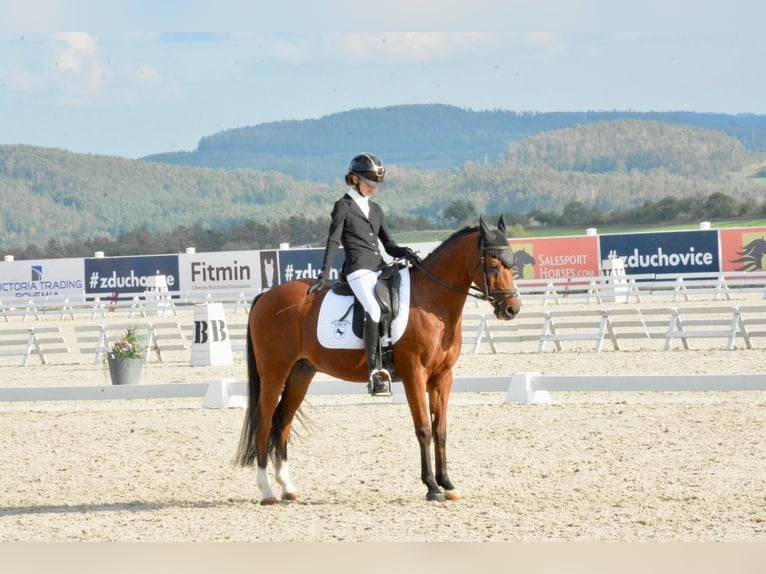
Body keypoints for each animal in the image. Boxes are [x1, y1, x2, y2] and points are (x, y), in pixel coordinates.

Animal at [235, 216, 522, 503]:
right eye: (494, 265)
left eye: (513, 265)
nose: (512, 309)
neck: (431, 301)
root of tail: (266, 296)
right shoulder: (414, 375)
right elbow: (424, 429)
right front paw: (431, 487)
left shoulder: (443, 377)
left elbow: (440, 430)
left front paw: (448, 485)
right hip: (274, 372)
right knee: (264, 421)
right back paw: (267, 491)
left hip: (300, 373)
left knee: (283, 421)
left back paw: (288, 487)